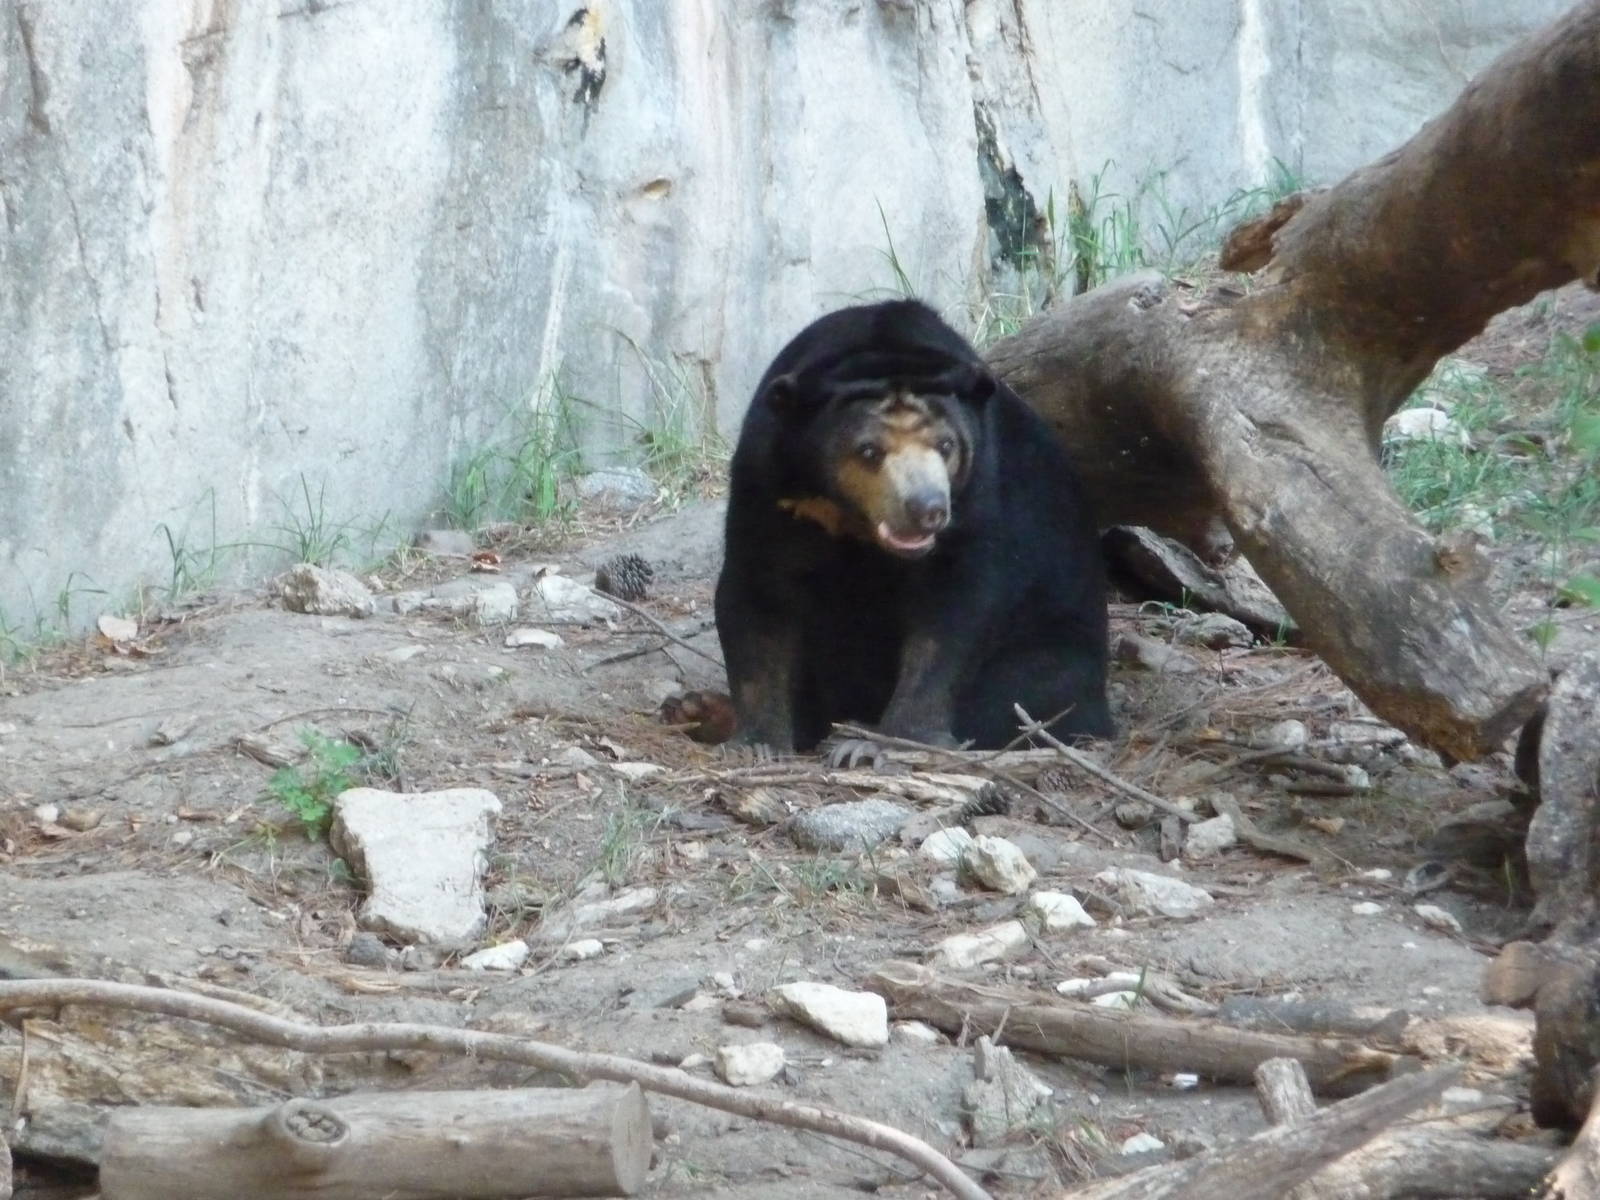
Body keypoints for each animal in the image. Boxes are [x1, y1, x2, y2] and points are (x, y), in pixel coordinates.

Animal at [713, 298, 1110, 763]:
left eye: (946, 445)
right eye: (869, 451)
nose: (928, 509)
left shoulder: (978, 493)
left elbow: (953, 611)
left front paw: (894, 743)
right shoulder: (771, 485)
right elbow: (759, 596)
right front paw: (758, 744)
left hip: (1055, 636)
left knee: (1033, 687)